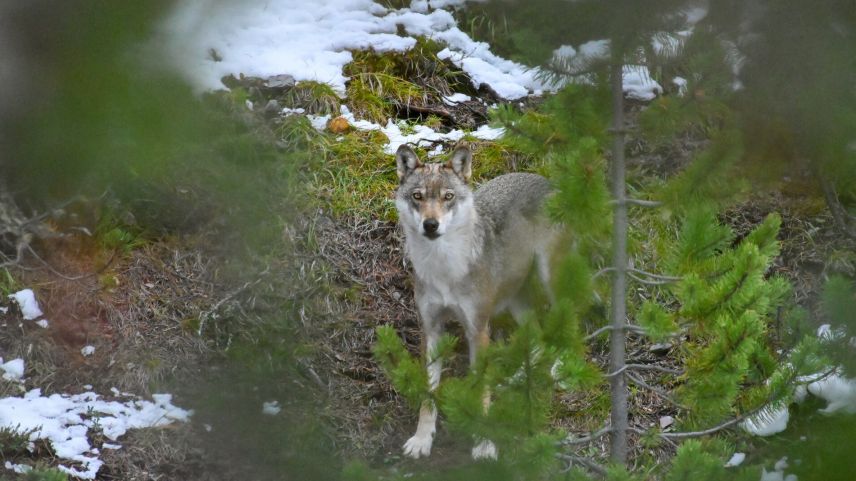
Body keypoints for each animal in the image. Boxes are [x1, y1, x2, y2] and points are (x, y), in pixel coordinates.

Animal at [394, 142, 559, 460]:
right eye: (418, 196)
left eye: (448, 197)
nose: (430, 225)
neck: (444, 267)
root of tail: (544, 179)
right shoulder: (431, 329)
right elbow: (428, 394)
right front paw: (422, 440)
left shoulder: (478, 330)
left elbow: (481, 390)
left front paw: (484, 443)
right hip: (515, 300)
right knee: (538, 336)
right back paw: (517, 377)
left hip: (550, 279)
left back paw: (562, 368)